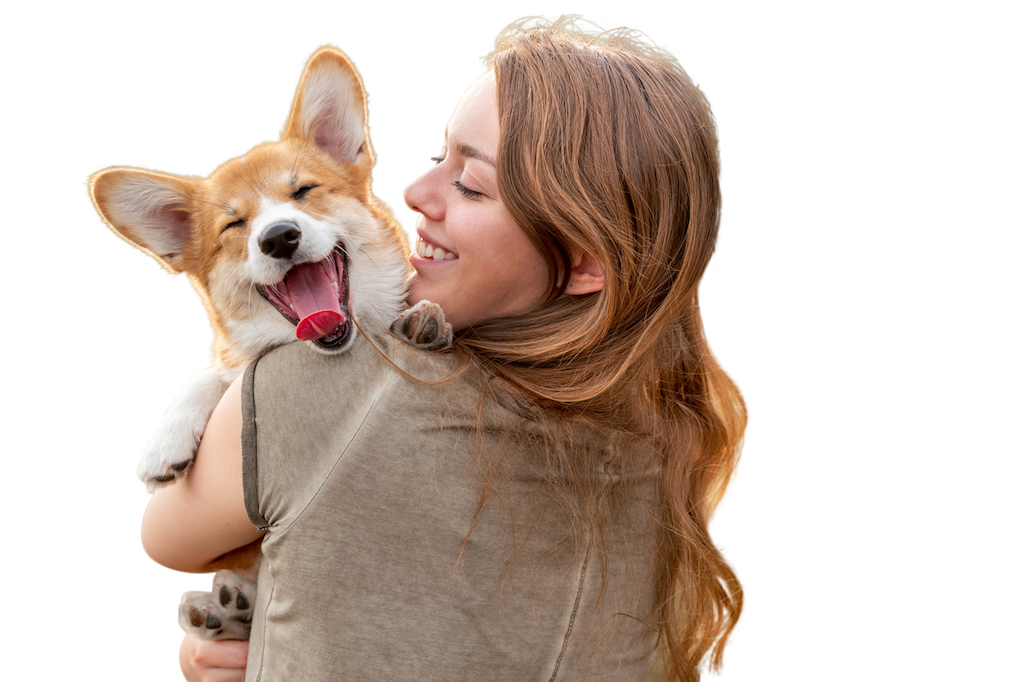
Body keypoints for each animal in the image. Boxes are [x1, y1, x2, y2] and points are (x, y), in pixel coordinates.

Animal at [85, 42, 454, 642]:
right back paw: (222, 608)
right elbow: (212, 371)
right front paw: (166, 442)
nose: (279, 237)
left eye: (303, 191)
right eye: (234, 226)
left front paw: (424, 318)